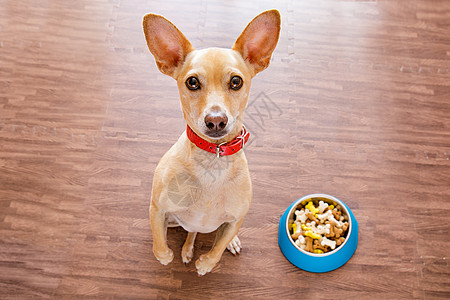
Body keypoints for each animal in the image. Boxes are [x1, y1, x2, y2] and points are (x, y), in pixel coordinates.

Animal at [142, 9, 280, 276]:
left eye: (236, 81)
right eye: (192, 82)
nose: (216, 121)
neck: (212, 161)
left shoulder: (235, 221)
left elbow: (216, 251)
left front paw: (205, 264)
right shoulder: (158, 209)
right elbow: (159, 243)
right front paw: (166, 257)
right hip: (174, 221)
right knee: (191, 231)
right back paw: (186, 249)